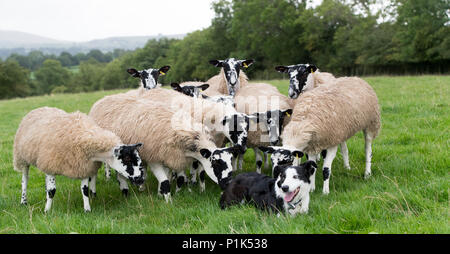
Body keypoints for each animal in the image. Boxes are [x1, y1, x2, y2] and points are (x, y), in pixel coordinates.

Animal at [13, 107, 144, 212]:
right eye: (127, 158)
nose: (141, 179)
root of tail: (38, 109)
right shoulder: (50, 164)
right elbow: (52, 191)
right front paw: (47, 211)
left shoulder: (83, 167)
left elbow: (85, 190)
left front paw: (87, 209)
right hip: (22, 158)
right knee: (25, 180)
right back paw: (23, 201)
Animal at [89, 92, 241, 201]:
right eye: (216, 164)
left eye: (229, 163)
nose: (228, 185)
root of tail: (103, 99)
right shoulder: (154, 158)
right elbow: (165, 182)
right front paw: (168, 203)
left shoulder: (173, 157)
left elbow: (175, 178)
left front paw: (167, 194)